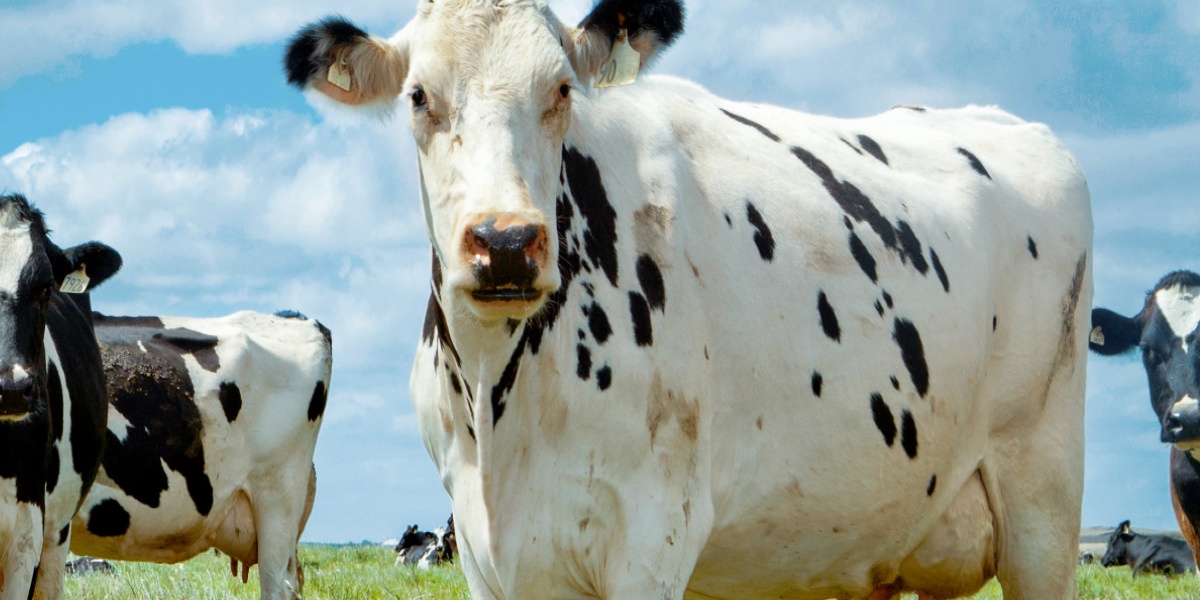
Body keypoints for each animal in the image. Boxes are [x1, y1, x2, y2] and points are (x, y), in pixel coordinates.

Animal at [285, 1, 1093, 597]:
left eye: (562, 91)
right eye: (419, 97)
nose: (506, 242)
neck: (497, 399)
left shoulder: (653, 535)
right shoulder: (487, 554)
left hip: (1043, 507)